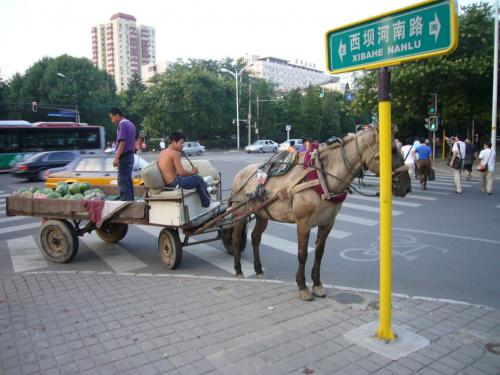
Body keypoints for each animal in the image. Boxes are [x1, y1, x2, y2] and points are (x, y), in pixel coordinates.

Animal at [229, 128, 412, 302]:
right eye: (393, 150)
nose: (407, 187)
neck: (323, 179)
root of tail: (239, 174)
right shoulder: (303, 224)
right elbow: (302, 254)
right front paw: (302, 287)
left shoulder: (327, 223)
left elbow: (319, 252)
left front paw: (317, 284)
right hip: (240, 213)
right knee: (237, 239)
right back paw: (238, 270)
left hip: (262, 214)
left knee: (255, 238)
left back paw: (258, 269)